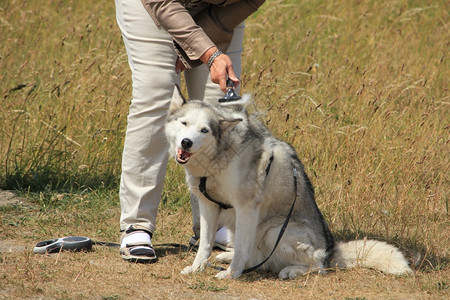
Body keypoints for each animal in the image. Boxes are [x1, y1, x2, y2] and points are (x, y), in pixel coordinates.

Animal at [165, 86, 412, 278]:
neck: (218, 158)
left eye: (204, 130)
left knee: (317, 266)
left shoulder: (246, 207)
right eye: (184, 123)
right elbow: (205, 244)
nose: (186, 143)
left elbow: (241, 248)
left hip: (274, 230)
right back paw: (230, 256)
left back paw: (290, 271)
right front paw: (197, 268)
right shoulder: (208, 205)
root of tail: (331, 250)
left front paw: (232, 275)